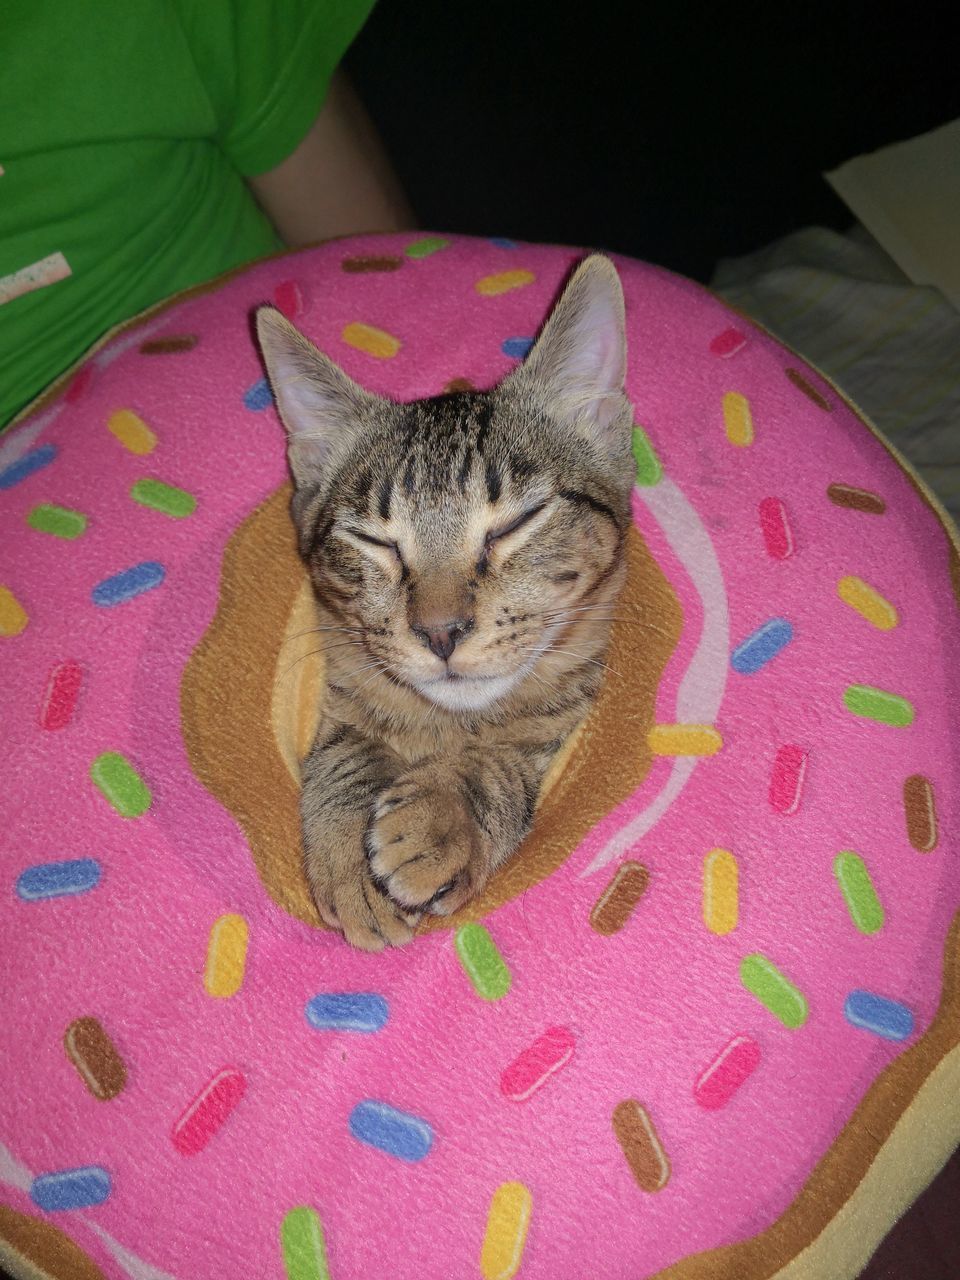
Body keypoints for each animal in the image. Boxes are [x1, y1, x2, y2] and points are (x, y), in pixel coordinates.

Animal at [256, 254, 634, 947]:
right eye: (374, 541)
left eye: (517, 523)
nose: (440, 631)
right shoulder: (343, 692)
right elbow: (344, 749)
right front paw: (349, 850)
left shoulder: (561, 722)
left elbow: (507, 760)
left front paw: (445, 814)